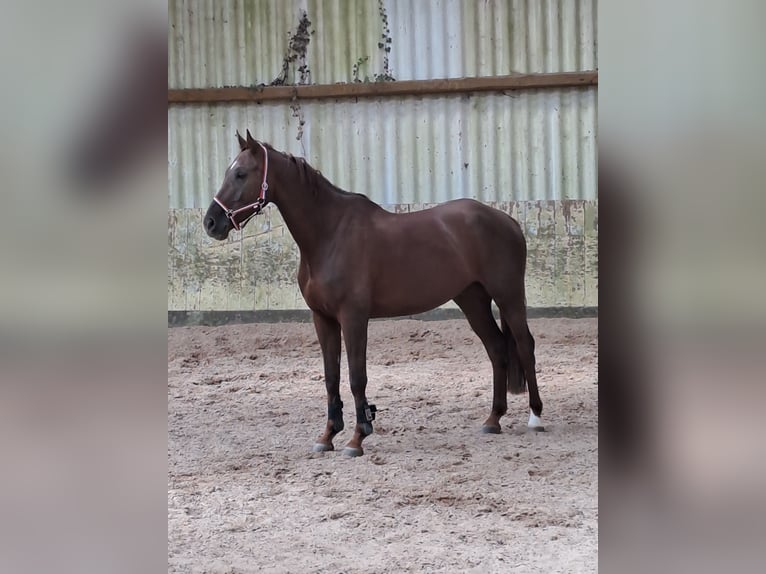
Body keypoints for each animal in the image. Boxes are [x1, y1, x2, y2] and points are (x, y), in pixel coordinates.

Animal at [201, 132, 544, 460]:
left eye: (241, 174)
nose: (211, 222)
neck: (330, 234)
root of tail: (507, 220)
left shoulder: (353, 317)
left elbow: (356, 377)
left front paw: (357, 437)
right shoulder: (322, 319)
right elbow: (331, 377)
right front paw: (327, 436)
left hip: (508, 296)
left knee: (524, 345)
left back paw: (535, 417)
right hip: (472, 300)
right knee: (497, 349)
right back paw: (493, 419)